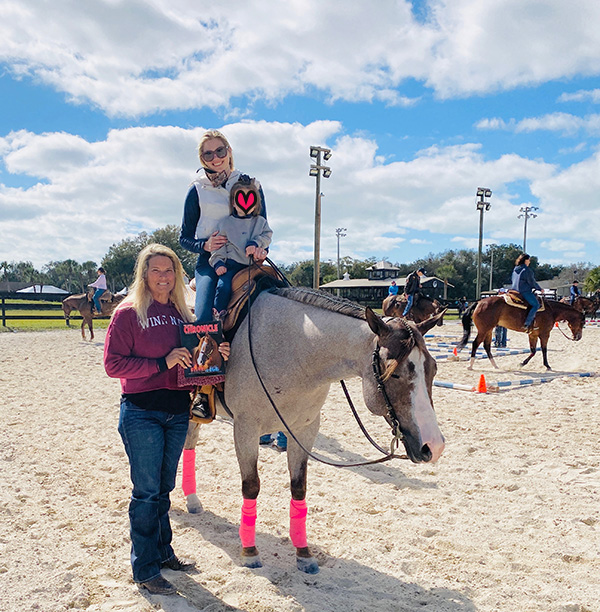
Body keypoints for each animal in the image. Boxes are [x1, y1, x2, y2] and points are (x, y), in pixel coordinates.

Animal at [184, 286, 446, 572]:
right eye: (394, 373)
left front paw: (303, 553)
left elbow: (299, 486)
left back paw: (192, 501)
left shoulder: (305, 429)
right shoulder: (246, 428)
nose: (434, 446)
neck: (294, 351)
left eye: (433, 369)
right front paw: (250, 551)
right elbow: (251, 486)